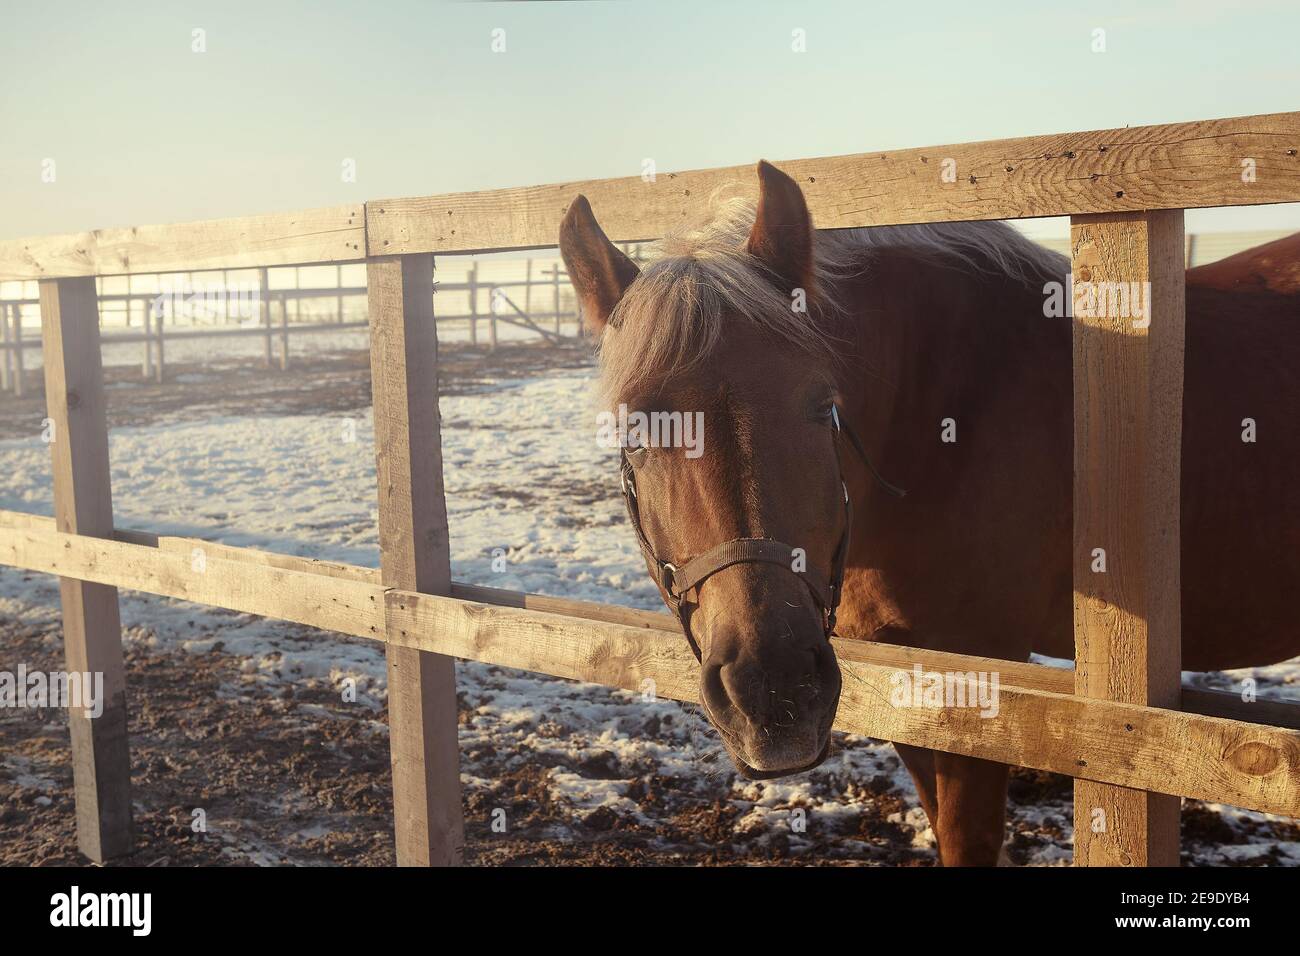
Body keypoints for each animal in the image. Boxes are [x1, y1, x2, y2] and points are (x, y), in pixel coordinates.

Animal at [558, 161, 1300, 866]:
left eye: (821, 404)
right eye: (633, 431)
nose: (773, 694)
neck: (945, 409)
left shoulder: (979, 671)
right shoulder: (903, 665)